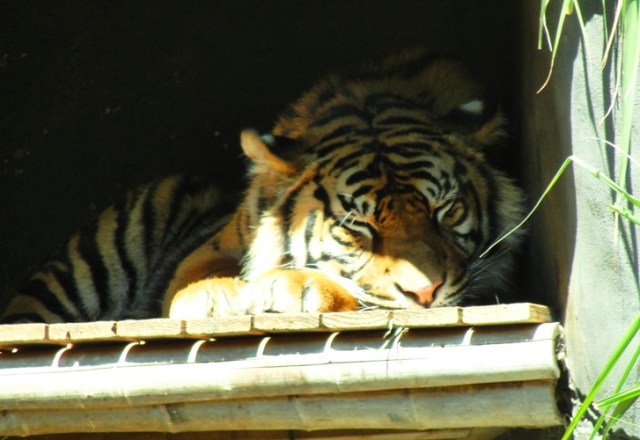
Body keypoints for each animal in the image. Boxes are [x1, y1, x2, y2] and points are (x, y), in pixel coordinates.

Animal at [1, 49, 526, 324]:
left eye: (445, 210)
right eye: (357, 226)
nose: (426, 293)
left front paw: (292, 286)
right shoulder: (211, 247)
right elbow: (197, 277)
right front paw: (220, 295)